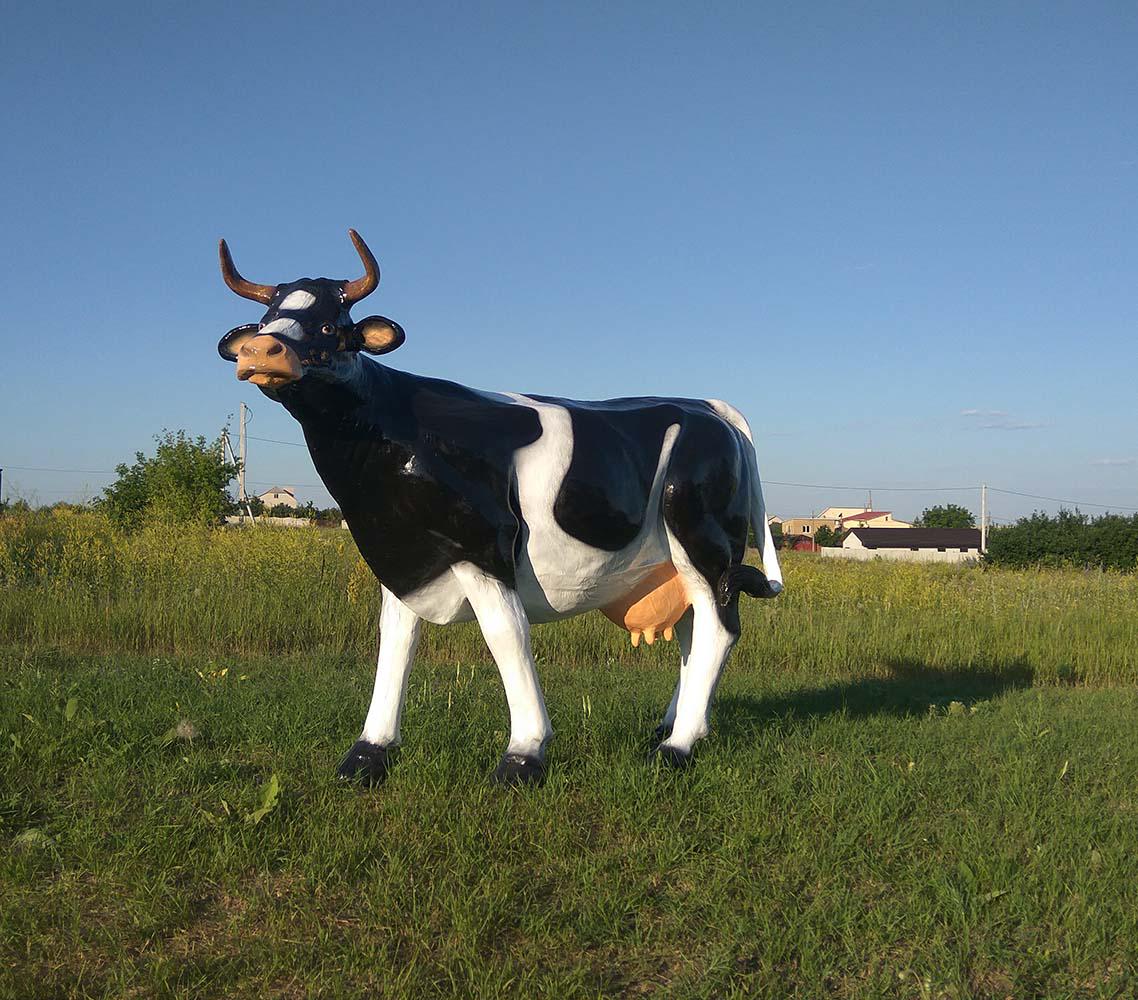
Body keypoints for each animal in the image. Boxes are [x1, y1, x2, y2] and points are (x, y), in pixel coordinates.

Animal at [217, 230, 783, 786]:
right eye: (265, 321)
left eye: (332, 326)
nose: (261, 350)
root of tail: (707, 407)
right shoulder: (405, 556)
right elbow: (395, 642)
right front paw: (369, 751)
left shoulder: (484, 547)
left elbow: (506, 637)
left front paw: (524, 753)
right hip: (676, 558)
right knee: (692, 630)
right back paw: (678, 725)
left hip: (704, 537)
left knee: (718, 629)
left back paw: (677, 747)